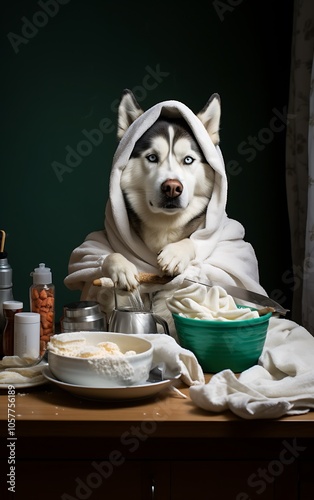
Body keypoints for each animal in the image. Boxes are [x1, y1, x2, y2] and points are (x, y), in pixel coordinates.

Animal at [103, 90, 221, 292]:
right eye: (152, 157)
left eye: (188, 159)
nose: (172, 188)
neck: (165, 224)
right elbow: (109, 254)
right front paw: (122, 268)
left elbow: (195, 240)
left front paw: (176, 253)